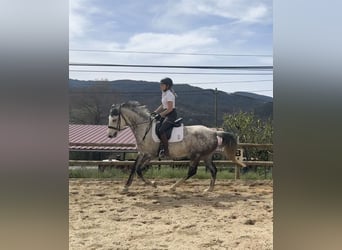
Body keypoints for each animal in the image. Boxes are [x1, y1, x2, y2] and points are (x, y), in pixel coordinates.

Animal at [107, 101, 246, 193]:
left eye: (114, 119)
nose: (110, 135)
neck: (144, 128)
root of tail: (213, 132)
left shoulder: (149, 154)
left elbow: (139, 170)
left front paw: (153, 184)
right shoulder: (142, 153)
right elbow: (134, 168)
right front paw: (126, 187)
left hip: (196, 156)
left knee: (192, 171)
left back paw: (173, 186)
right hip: (206, 156)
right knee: (213, 170)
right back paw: (209, 189)